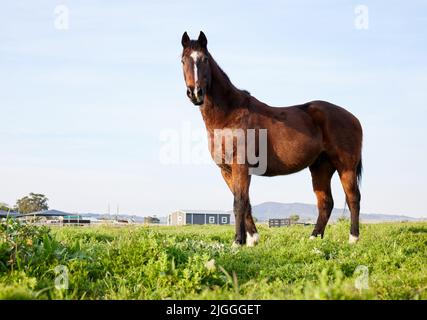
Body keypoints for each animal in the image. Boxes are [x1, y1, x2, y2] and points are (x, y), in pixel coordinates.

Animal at [181, 31, 364, 246]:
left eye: (204, 59)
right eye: (183, 60)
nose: (195, 93)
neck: (229, 114)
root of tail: (353, 118)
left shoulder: (240, 166)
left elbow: (239, 202)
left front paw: (238, 242)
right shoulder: (226, 170)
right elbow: (246, 202)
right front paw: (252, 240)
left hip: (346, 167)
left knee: (353, 198)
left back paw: (353, 239)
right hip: (321, 167)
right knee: (326, 202)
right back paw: (313, 239)